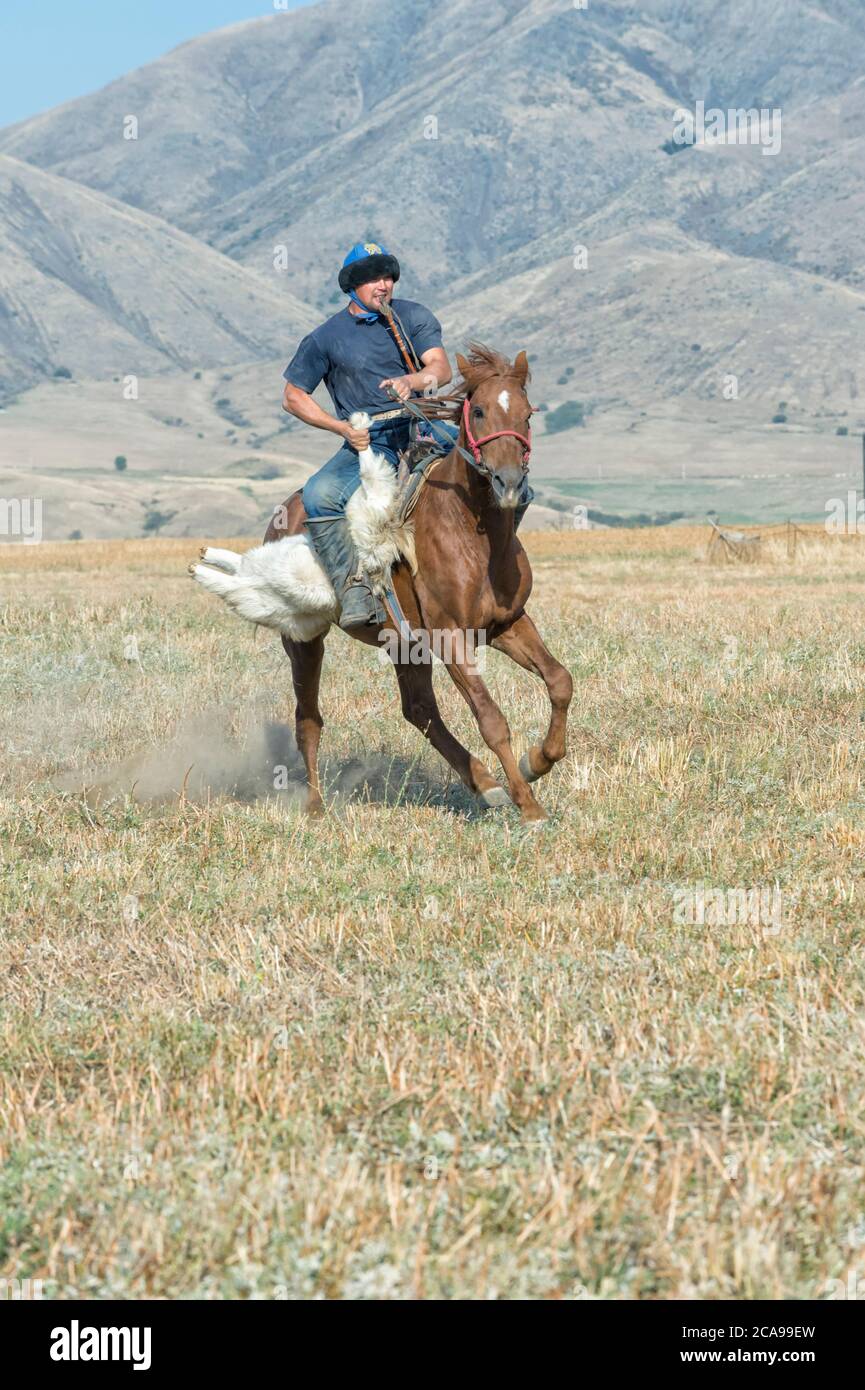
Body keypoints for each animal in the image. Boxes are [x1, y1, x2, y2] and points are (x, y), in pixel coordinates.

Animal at [265, 346, 575, 817]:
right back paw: (316, 806)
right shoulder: (450, 635)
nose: (508, 483)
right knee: (308, 718)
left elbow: (559, 681)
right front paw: (529, 806)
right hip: (302, 638)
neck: (472, 533)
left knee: (419, 710)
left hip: (403, 641)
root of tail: (283, 514)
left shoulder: (506, 623)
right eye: (478, 411)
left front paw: (537, 761)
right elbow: (491, 719)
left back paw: (486, 785)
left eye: (527, 414)